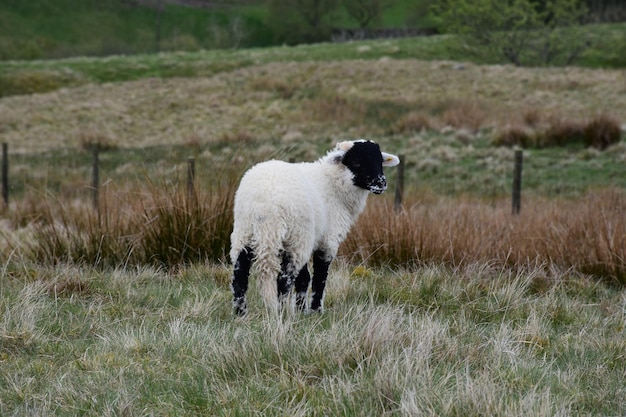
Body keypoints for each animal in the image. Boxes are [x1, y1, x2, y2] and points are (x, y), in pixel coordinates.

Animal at [229, 138, 400, 314]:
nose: (381, 183)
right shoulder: (327, 240)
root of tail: (264, 202)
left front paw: (301, 310)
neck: (332, 182)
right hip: (296, 236)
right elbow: (319, 277)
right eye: (357, 162)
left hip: (246, 231)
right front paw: (315, 311)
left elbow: (304, 278)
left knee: (239, 274)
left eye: (379, 160)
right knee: (284, 278)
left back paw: (241, 313)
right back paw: (283, 313)